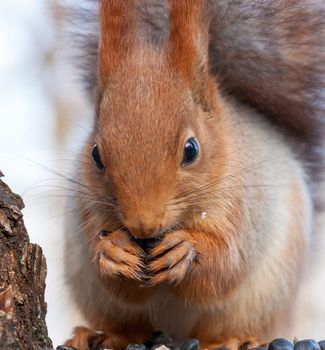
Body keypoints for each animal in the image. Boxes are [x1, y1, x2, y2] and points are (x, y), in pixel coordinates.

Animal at [60, 0, 322, 350]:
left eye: (191, 149)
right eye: (95, 155)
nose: (144, 226)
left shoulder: (247, 207)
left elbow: (227, 263)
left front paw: (186, 252)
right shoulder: (89, 208)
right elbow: (120, 284)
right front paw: (113, 251)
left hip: (263, 301)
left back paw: (231, 340)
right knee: (131, 327)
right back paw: (103, 335)